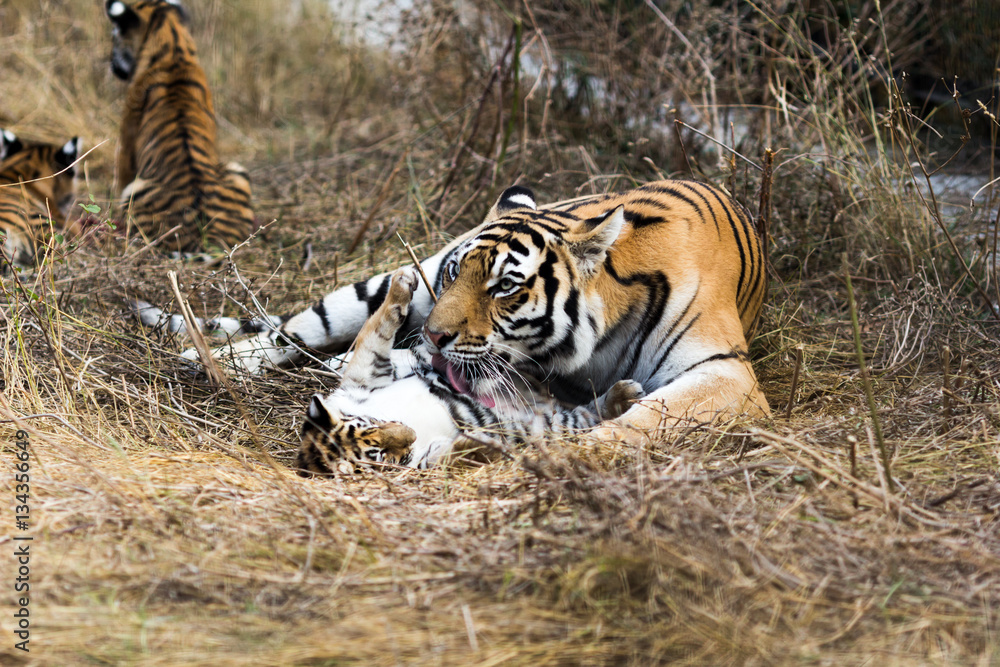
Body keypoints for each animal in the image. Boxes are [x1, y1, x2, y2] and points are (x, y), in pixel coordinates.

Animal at [105, 0, 254, 254]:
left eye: (115, 35)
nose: (112, 65)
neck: (174, 49)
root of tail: (206, 238)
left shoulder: (125, 144)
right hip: (237, 171)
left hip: (136, 190)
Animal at [145, 180, 770, 439]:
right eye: (455, 274)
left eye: (504, 287)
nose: (432, 334)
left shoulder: (726, 372)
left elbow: (650, 415)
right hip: (381, 287)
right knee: (297, 332)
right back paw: (207, 361)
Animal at [297, 266, 645, 473]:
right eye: (378, 455)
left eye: (371, 424)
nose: (409, 433)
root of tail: (544, 402)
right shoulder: (422, 462)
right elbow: (449, 456)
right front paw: (477, 444)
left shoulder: (364, 377)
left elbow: (376, 329)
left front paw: (401, 285)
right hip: (554, 424)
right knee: (586, 414)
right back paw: (624, 395)